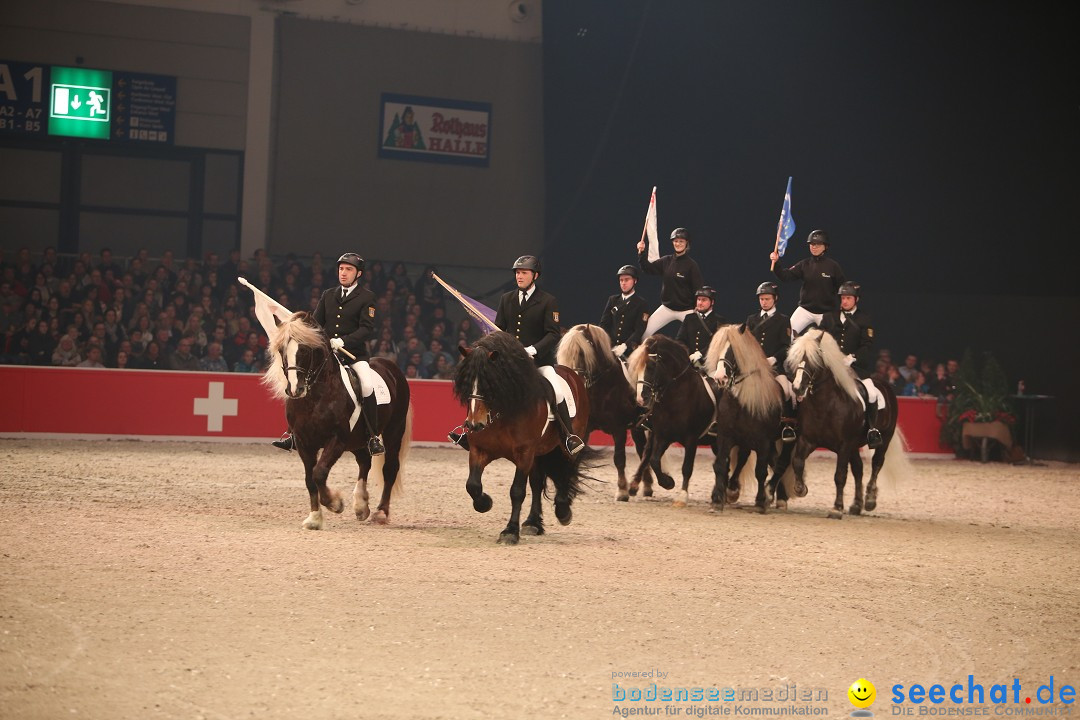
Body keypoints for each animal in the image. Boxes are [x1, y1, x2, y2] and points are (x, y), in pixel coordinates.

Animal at [263, 313, 410, 533]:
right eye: (281, 350)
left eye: (305, 350)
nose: (295, 390)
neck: (316, 396)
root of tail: (391, 367)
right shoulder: (304, 443)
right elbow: (310, 479)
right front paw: (315, 518)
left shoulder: (337, 440)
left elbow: (319, 473)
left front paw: (335, 503)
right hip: (358, 440)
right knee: (364, 461)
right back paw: (361, 505)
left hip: (394, 430)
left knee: (390, 468)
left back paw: (381, 513)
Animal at [451, 330, 596, 544]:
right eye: (467, 382)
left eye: (490, 383)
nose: (474, 425)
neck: (505, 410)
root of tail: (572, 375)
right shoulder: (480, 450)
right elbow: (473, 485)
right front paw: (485, 503)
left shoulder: (524, 452)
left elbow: (517, 491)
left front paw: (510, 531)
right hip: (536, 455)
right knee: (537, 483)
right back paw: (533, 523)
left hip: (566, 445)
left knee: (566, 471)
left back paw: (562, 511)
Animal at [557, 325, 648, 500]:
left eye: (582, 352)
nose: (573, 379)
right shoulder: (586, 428)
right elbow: (578, 454)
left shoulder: (619, 428)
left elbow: (619, 458)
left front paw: (622, 490)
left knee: (644, 451)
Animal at [626, 336, 717, 509]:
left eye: (651, 366)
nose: (641, 398)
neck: (678, 396)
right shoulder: (663, 435)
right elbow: (654, 460)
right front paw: (668, 482)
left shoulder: (691, 438)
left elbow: (687, 467)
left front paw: (682, 496)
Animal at [704, 323, 799, 515]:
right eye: (718, 349)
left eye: (733, 351)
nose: (720, 378)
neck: (742, 400)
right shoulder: (725, 436)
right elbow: (720, 465)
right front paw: (717, 500)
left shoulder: (762, 441)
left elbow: (761, 471)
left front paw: (761, 501)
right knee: (750, 458)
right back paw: (734, 489)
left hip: (785, 439)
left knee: (780, 464)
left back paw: (777, 497)